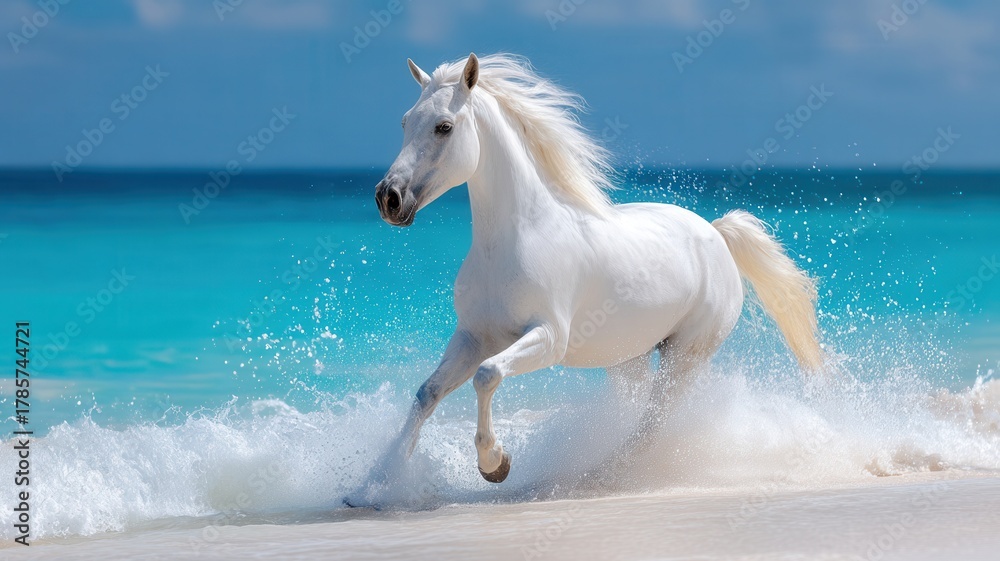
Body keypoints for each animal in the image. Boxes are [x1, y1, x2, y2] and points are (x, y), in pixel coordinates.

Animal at [365, 53, 822, 489]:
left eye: (444, 127)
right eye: (405, 121)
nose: (388, 198)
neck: (516, 240)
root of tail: (716, 233)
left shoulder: (548, 337)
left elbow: (487, 375)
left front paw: (495, 463)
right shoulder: (473, 337)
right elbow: (427, 393)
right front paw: (375, 483)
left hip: (684, 356)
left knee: (652, 423)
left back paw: (606, 473)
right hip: (628, 358)